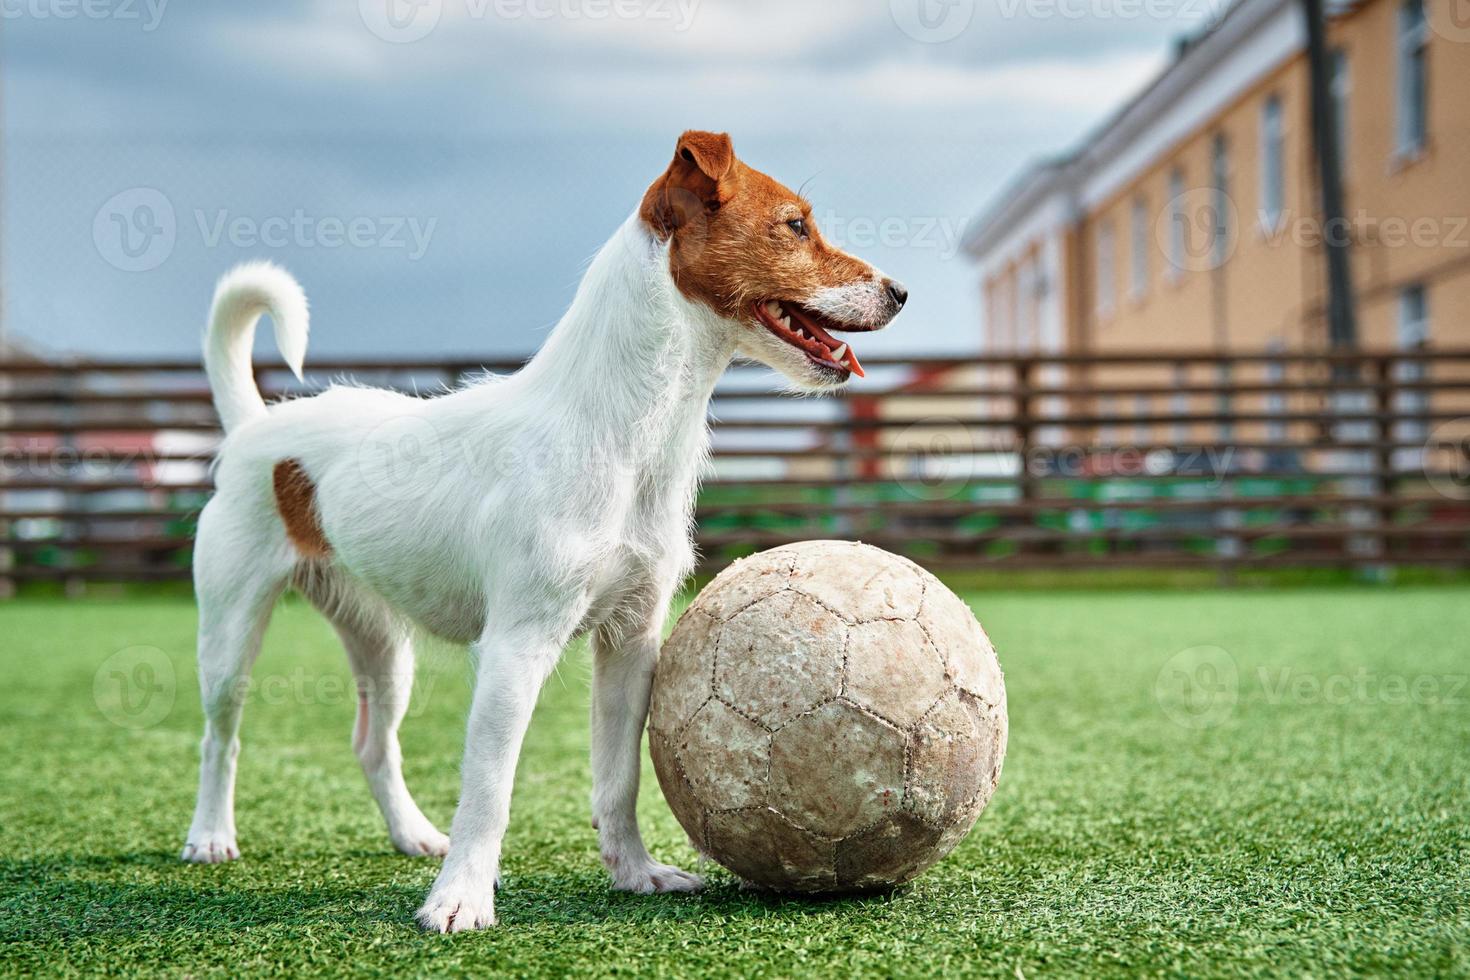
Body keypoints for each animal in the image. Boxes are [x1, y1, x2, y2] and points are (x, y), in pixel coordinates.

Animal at [183, 132, 905, 934]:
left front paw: (635, 873)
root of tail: (256, 425)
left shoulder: (632, 640)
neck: (621, 430)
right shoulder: (516, 647)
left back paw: (412, 835)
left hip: (381, 643)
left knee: (373, 743)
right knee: (220, 736)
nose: (902, 292)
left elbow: (617, 779)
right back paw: (211, 836)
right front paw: (461, 899)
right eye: (795, 226)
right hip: (230, 631)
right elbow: (490, 788)